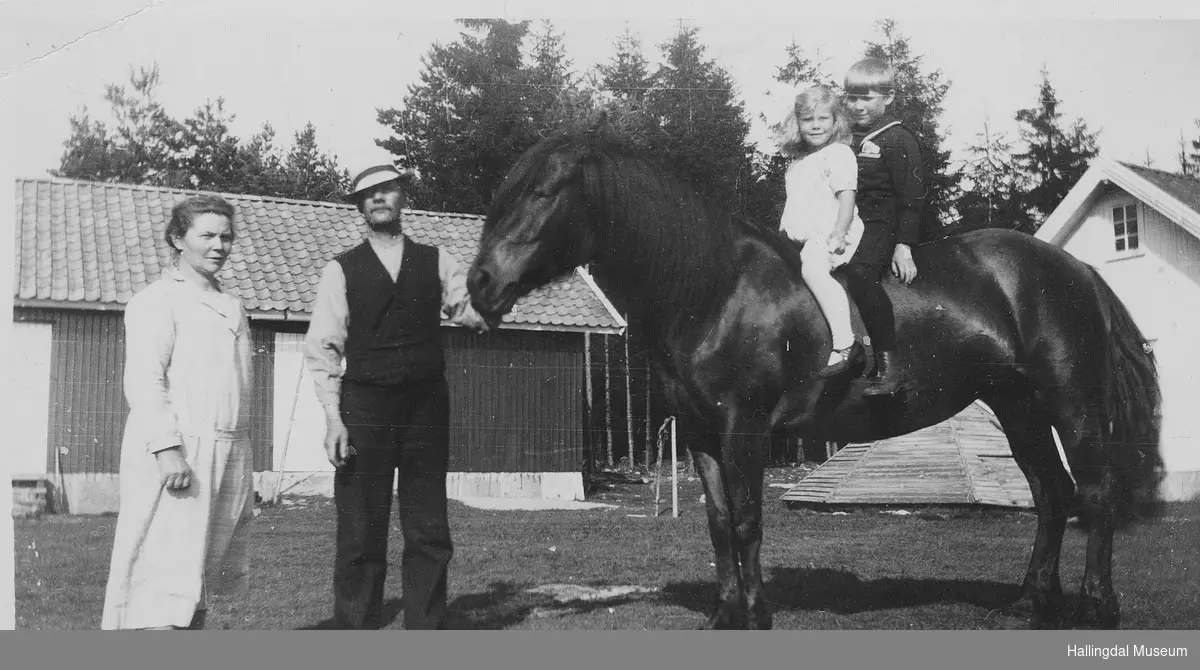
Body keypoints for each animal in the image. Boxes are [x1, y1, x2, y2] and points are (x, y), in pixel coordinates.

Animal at [468, 124, 1161, 629]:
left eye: (541, 194)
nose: (479, 284)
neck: (713, 286)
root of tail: (1074, 269)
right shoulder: (700, 434)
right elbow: (718, 523)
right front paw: (725, 614)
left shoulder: (744, 427)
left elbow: (747, 519)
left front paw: (755, 614)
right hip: (1017, 406)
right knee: (1052, 494)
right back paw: (1031, 602)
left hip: (1071, 403)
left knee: (1095, 494)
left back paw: (1096, 606)